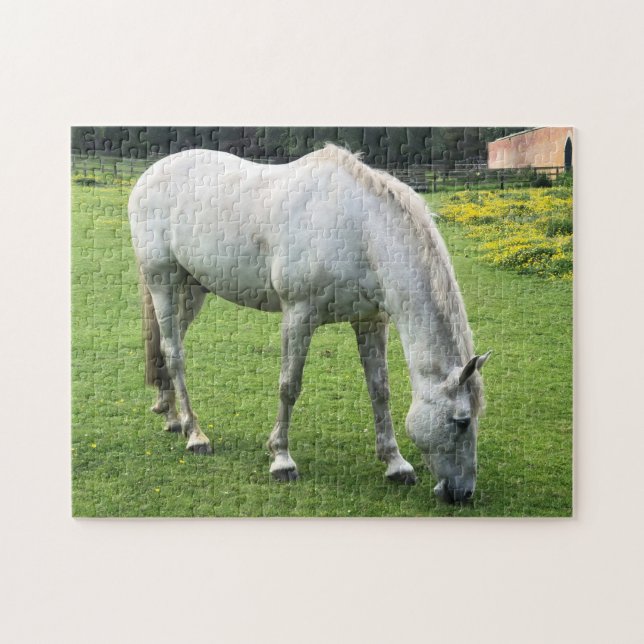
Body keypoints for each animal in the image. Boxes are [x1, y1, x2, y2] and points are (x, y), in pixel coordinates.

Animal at [128, 144, 491, 503]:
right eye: (461, 421)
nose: (462, 493)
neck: (360, 229)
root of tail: (149, 175)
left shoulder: (370, 322)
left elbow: (380, 390)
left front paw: (395, 463)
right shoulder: (299, 316)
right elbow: (289, 386)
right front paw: (281, 459)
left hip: (193, 289)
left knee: (167, 345)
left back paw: (171, 415)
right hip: (163, 282)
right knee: (174, 352)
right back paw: (195, 434)